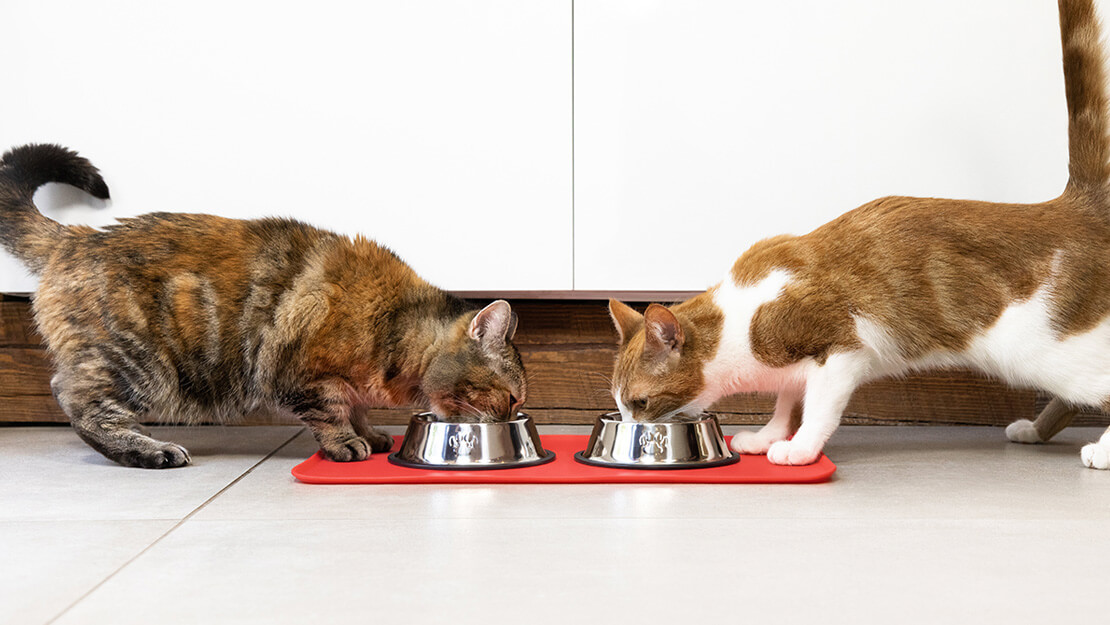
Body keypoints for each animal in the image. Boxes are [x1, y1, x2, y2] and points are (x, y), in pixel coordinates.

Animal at [0, 145, 526, 470]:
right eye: (512, 398)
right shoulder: (306, 375)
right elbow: (331, 412)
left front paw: (371, 432)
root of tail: (77, 237)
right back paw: (148, 451)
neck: (395, 327)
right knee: (77, 402)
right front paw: (345, 442)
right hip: (143, 365)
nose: (512, 416)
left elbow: (356, 407)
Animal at [608, 0, 1110, 470]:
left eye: (639, 402)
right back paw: (1034, 431)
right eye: (620, 404)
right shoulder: (798, 365)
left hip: (1042, 348)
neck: (739, 321)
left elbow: (817, 409)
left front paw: (799, 449)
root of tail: (1071, 204)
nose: (628, 424)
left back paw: (1100, 453)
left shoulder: (840, 349)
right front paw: (769, 436)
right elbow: (788, 400)